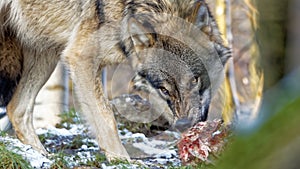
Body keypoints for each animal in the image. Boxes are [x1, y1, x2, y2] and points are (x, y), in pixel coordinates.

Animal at [0, 0, 231, 161]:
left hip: (46, 50)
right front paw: (122, 161)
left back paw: (43, 156)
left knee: (16, 108)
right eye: (164, 89)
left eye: (195, 80)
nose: (184, 125)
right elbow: (106, 118)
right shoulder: (80, 58)